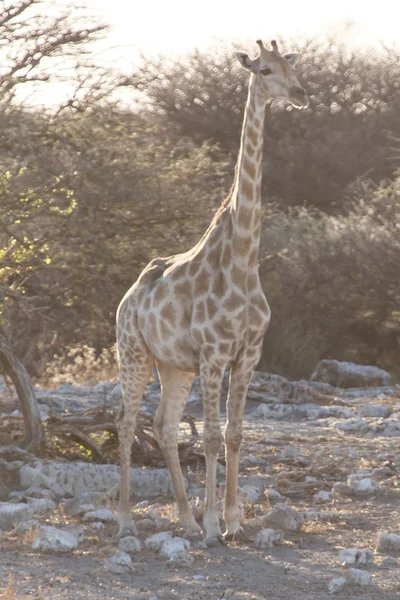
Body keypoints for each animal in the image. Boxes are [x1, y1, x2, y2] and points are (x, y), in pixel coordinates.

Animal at [115, 38, 310, 544]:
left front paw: (233, 521)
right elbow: (208, 435)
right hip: (133, 351)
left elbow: (234, 434)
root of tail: (127, 297)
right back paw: (126, 520)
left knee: (163, 427)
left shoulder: (248, 354)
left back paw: (182, 519)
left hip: (173, 365)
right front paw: (210, 525)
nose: (301, 94)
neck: (242, 261)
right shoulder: (214, 354)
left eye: (291, 68)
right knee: (126, 422)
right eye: (263, 70)